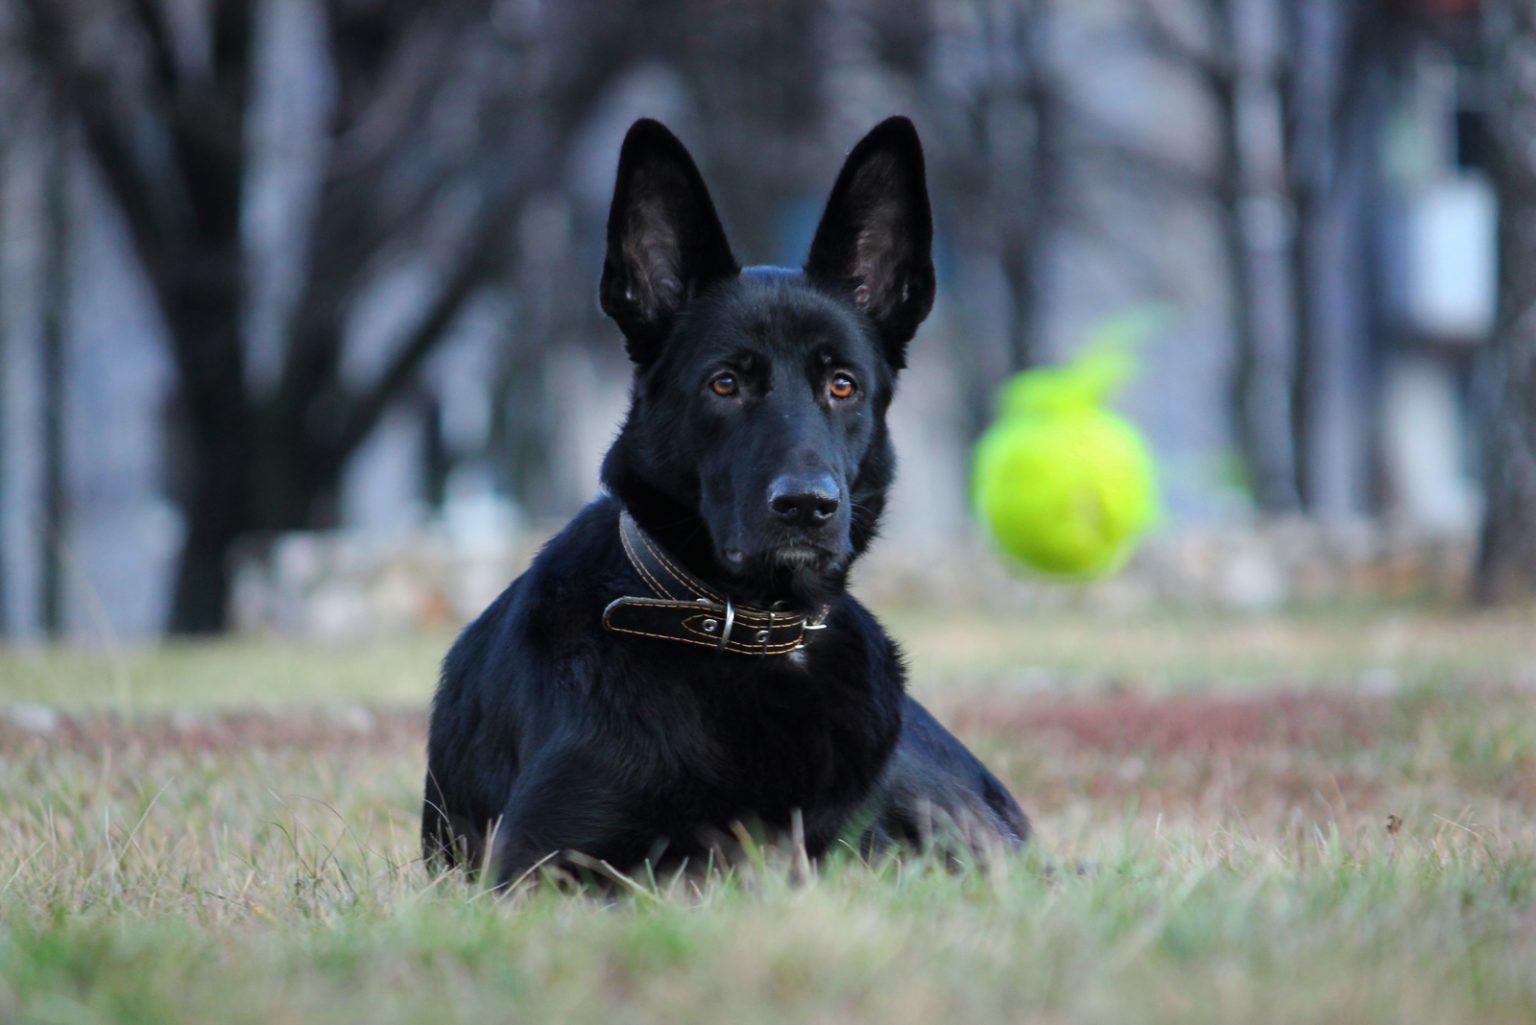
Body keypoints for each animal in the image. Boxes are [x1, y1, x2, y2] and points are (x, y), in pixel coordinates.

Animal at [420, 114, 1032, 891]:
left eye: (842, 384)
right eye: (725, 384)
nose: (807, 506)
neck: (752, 628)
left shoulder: (857, 851)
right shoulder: (537, 863)